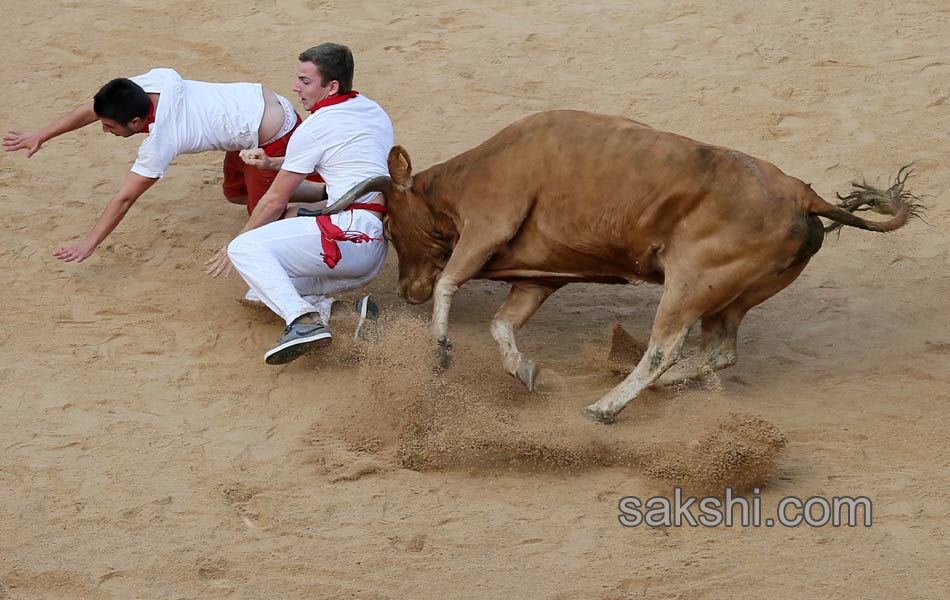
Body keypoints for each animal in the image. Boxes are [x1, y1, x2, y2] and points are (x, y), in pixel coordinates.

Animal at [330, 110, 924, 424]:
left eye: (389, 224)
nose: (406, 290)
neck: (462, 180)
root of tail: (803, 194)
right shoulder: (537, 277)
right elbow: (503, 322)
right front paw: (521, 368)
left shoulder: (486, 227)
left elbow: (451, 281)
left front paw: (440, 347)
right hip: (731, 297)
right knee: (719, 352)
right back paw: (642, 383)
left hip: (691, 283)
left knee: (666, 349)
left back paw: (606, 406)